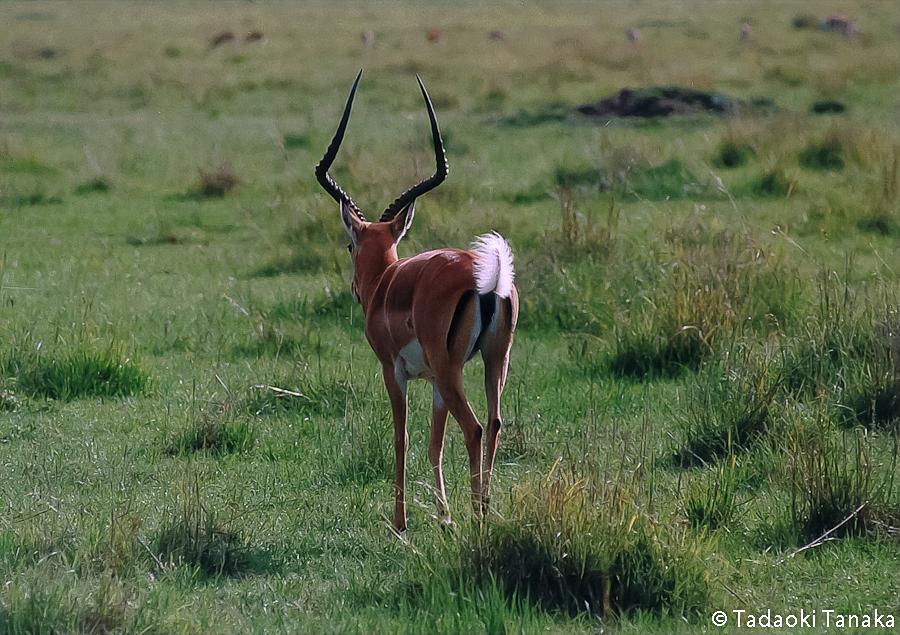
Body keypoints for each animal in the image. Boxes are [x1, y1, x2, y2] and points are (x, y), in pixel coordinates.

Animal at [316, 72, 516, 532]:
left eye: (349, 244)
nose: (354, 289)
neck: (388, 284)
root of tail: (487, 277)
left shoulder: (394, 370)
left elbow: (402, 438)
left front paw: (401, 522)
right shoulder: (436, 381)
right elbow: (434, 443)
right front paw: (443, 517)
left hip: (449, 368)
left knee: (475, 428)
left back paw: (478, 517)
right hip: (492, 360)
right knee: (495, 422)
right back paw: (485, 510)